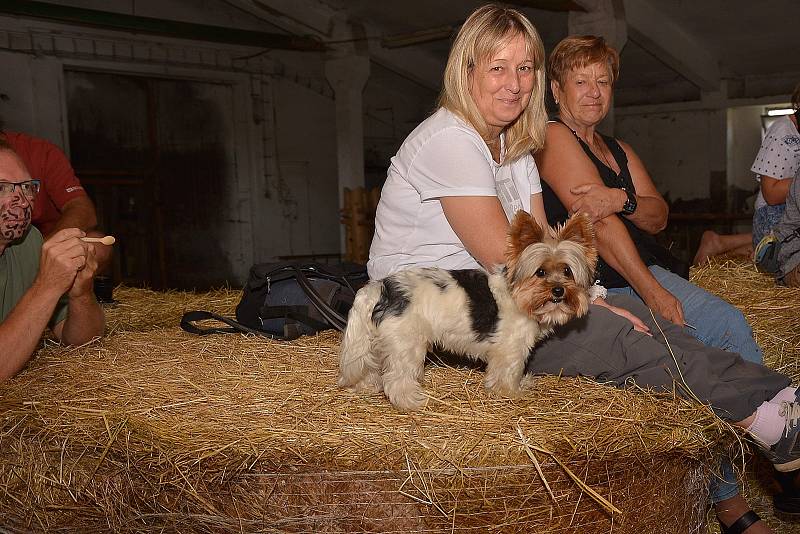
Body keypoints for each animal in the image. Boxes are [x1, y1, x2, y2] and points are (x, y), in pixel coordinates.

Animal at [340, 211, 600, 412]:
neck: (518, 294)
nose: (558, 291)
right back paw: (412, 401)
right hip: (406, 345)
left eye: (567, 271)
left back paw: (367, 387)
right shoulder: (511, 349)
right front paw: (512, 392)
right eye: (541, 272)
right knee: (396, 380)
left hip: (379, 343)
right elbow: (509, 373)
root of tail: (382, 288)